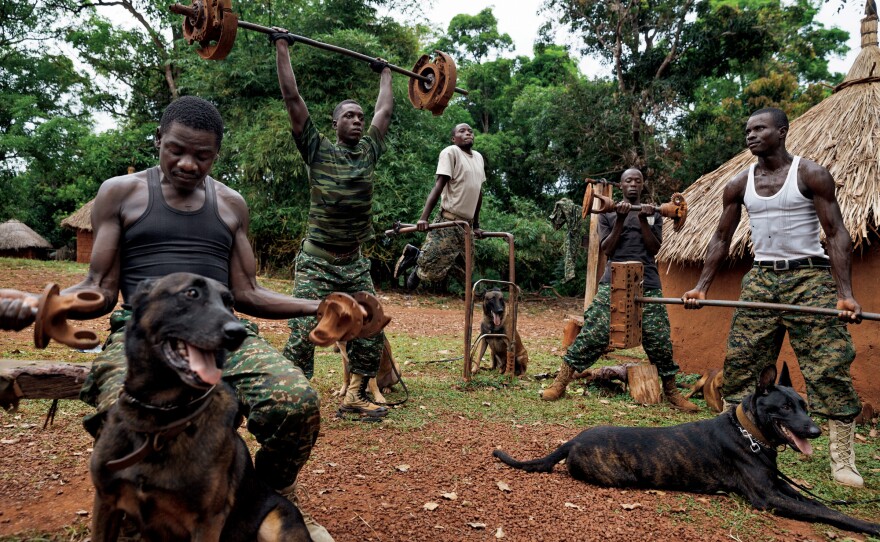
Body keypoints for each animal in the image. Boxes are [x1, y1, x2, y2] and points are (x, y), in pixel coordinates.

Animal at [89, 276, 310, 542]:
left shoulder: (207, 522)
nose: (238, 333)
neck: (159, 420)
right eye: (191, 293)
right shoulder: (106, 502)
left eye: (230, 303)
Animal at [492, 366, 880, 540]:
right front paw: (869, 525)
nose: (815, 431)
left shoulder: (779, 486)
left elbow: (818, 504)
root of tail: (572, 441)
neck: (749, 433)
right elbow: (827, 513)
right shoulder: (768, 497)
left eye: (804, 406)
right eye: (784, 407)